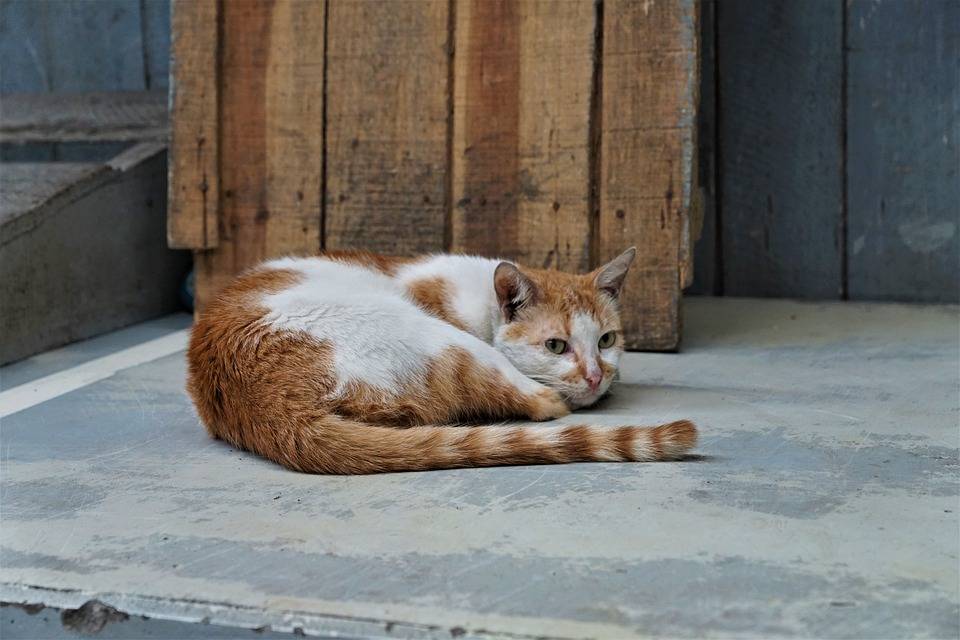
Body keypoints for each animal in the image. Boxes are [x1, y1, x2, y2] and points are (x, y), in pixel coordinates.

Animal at [188, 248, 696, 472]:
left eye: (607, 340)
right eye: (556, 346)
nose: (594, 376)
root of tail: (274, 407)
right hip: (440, 339)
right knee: (537, 403)